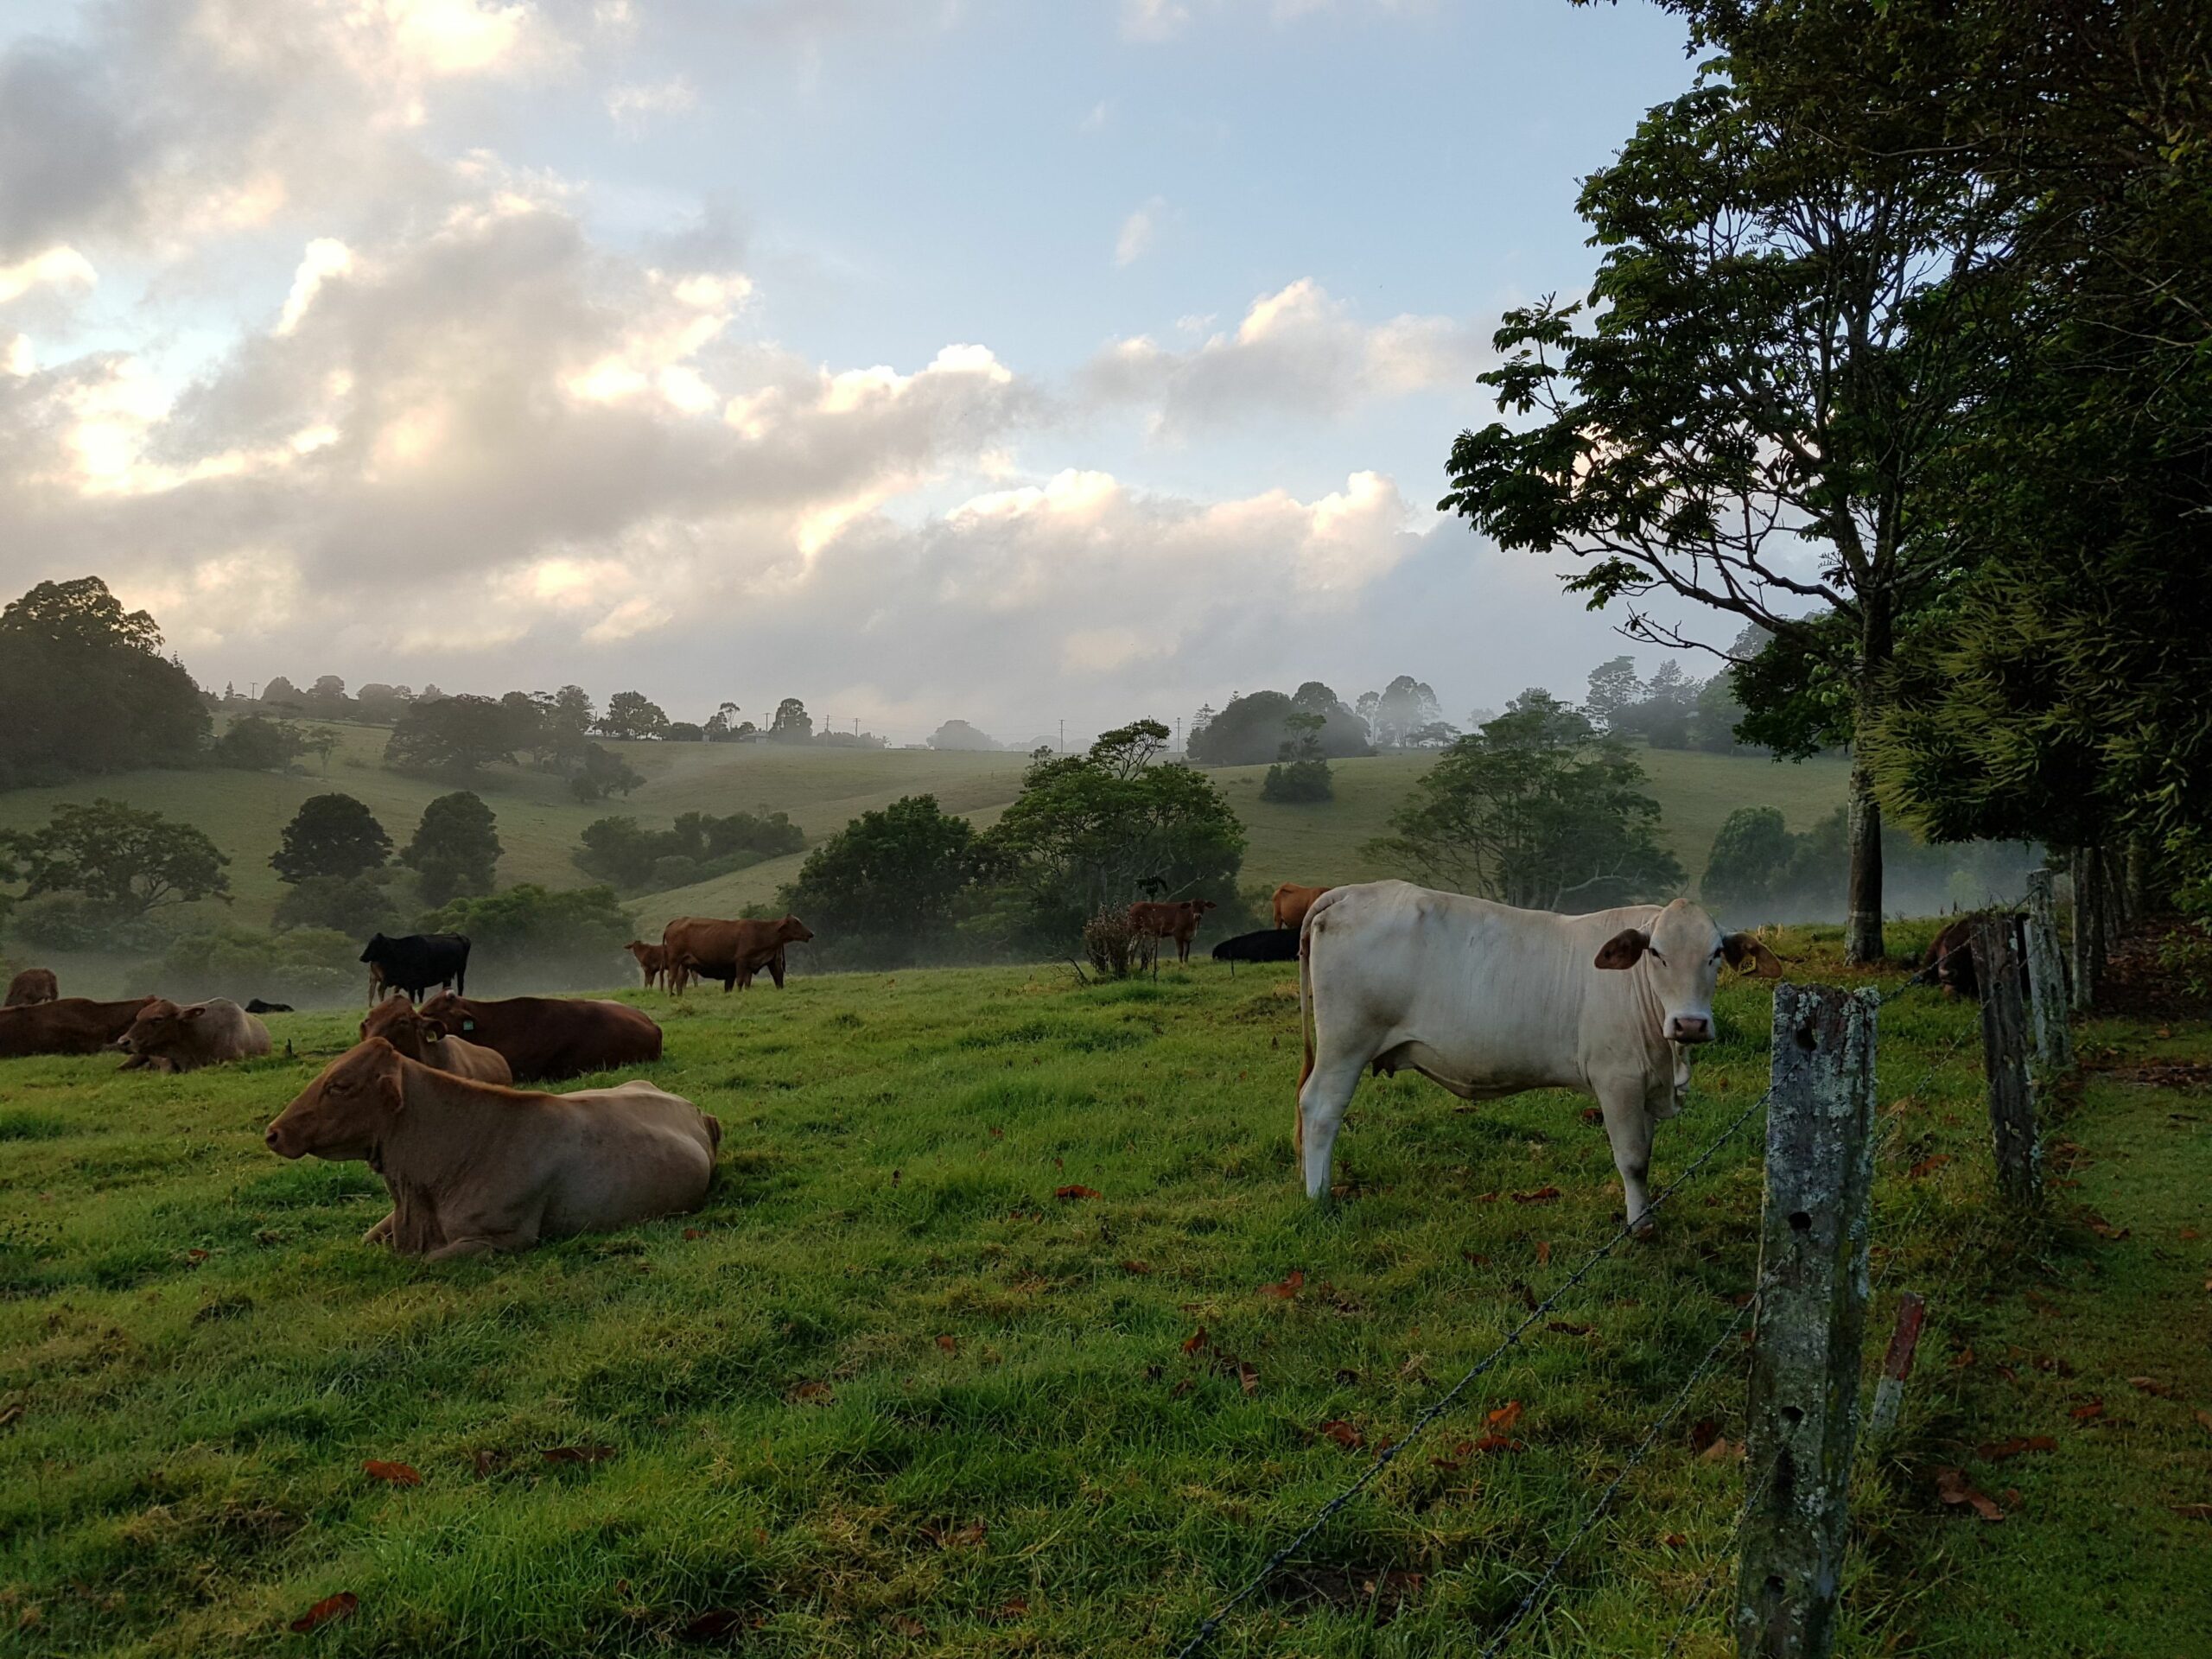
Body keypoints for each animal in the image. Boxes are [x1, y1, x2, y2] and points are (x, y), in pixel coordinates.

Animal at [358, 929, 471, 1008]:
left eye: (374, 944)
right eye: (369, 943)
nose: (361, 957)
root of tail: (459, 935)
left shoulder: (416, 980)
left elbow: (415, 994)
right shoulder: (407, 981)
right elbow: (413, 995)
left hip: (461, 968)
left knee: (460, 985)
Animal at [672, 915, 823, 995]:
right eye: (796, 923)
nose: (811, 933)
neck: (760, 932)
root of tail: (675, 922)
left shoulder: (757, 964)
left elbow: (750, 982)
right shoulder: (741, 962)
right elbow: (740, 981)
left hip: (684, 964)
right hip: (679, 962)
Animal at [1292, 885, 1778, 1238]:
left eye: (1716, 954)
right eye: (1656, 953)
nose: (1690, 1024)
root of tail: (1354, 890)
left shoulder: (1646, 1087)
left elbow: (1646, 1154)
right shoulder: (1617, 1080)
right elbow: (1632, 1159)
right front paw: (1640, 1227)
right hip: (1345, 1044)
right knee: (1320, 1110)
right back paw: (1318, 1197)